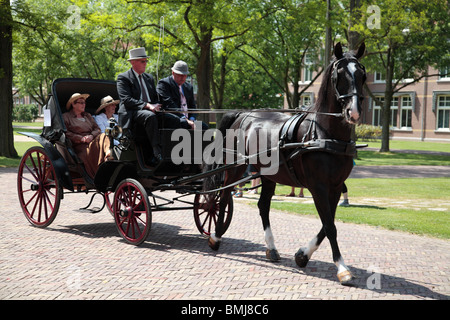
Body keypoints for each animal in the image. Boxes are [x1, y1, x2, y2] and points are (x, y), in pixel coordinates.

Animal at [203, 41, 366, 284]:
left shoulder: (335, 187)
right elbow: (330, 226)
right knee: (222, 199)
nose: (353, 112)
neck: (324, 134)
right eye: (339, 75)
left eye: (362, 74)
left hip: (269, 175)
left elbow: (327, 225)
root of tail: (243, 114)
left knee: (263, 206)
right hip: (235, 168)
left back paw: (271, 249)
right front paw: (342, 268)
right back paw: (215, 237)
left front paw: (302, 255)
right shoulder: (318, 187)